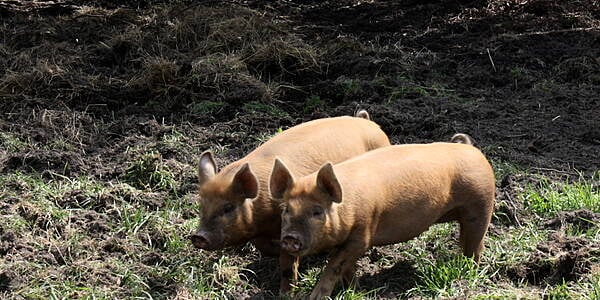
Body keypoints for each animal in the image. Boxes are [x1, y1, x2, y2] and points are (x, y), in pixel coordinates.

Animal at [190, 110, 392, 290]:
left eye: (228, 208)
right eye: (202, 205)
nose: (198, 236)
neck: (262, 218)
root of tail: (367, 122)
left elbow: (287, 264)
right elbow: (261, 246)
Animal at [270, 135, 494, 298]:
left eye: (317, 211)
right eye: (286, 209)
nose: (290, 237)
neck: (347, 208)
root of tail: (472, 149)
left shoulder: (363, 235)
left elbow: (334, 265)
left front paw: (316, 296)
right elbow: (346, 268)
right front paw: (355, 290)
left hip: (481, 204)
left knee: (476, 245)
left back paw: (467, 270)